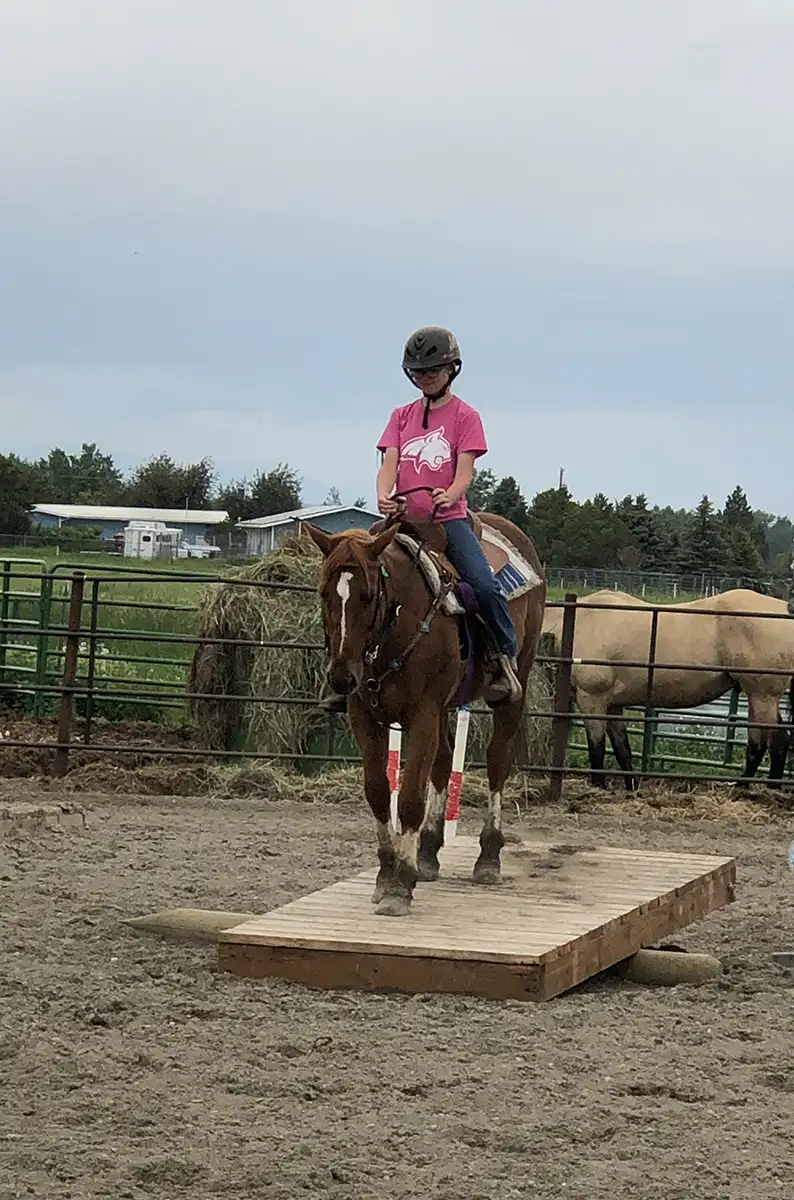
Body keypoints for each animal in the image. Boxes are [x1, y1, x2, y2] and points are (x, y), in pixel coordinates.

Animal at [303, 501, 546, 917]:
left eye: (368, 594)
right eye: (323, 593)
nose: (341, 677)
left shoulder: (422, 715)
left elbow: (410, 800)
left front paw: (401, 885)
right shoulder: (364, 718)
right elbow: (378, 792)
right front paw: (387, 874)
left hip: (515, 685)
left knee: (498, 760)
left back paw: (488, 858)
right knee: (445, 760)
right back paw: (429, 852)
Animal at [541, 587, 794, 791]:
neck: (577, 621)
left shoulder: (592, 699)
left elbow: (597, 748)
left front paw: (598, 786)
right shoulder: (612, 706)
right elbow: (623, 749)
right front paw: (632, 787)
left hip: (763, 696)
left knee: (770, 742)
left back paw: (752, 789)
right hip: (757, 697)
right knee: (769, 741)